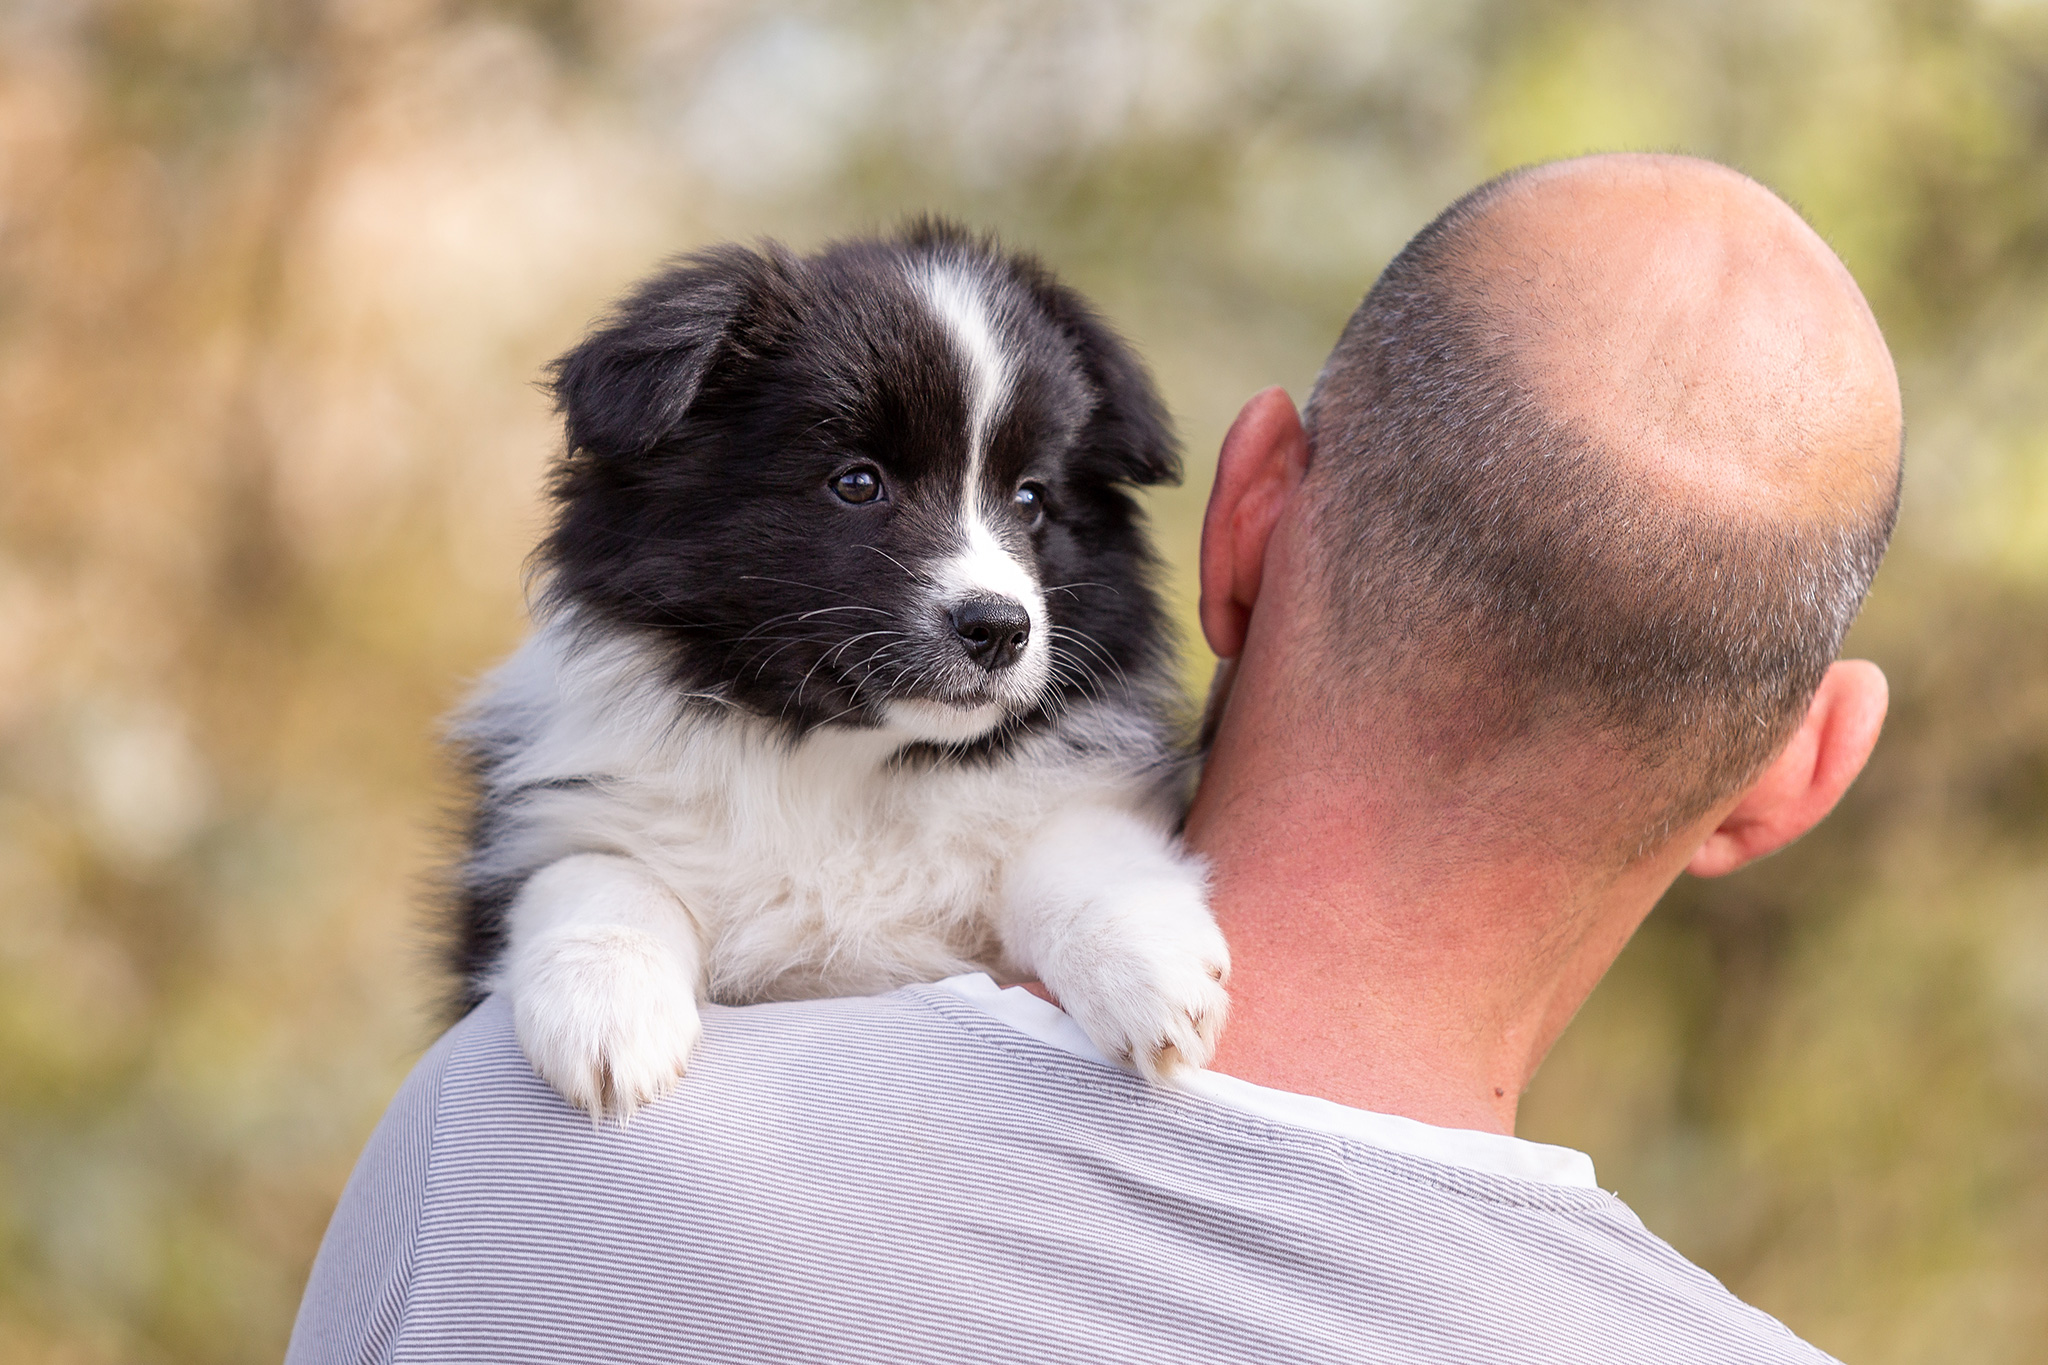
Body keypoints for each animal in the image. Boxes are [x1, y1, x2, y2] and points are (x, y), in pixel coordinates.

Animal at [452, 222, 1228, 1121]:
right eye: (857, 483)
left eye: (1032, 498)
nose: (1001, 628)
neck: (841, 761)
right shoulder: (561, 807)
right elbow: (595, 870)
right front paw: (610, 1012)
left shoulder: (1067, 786)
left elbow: (1076, 847)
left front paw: (1147, 963)